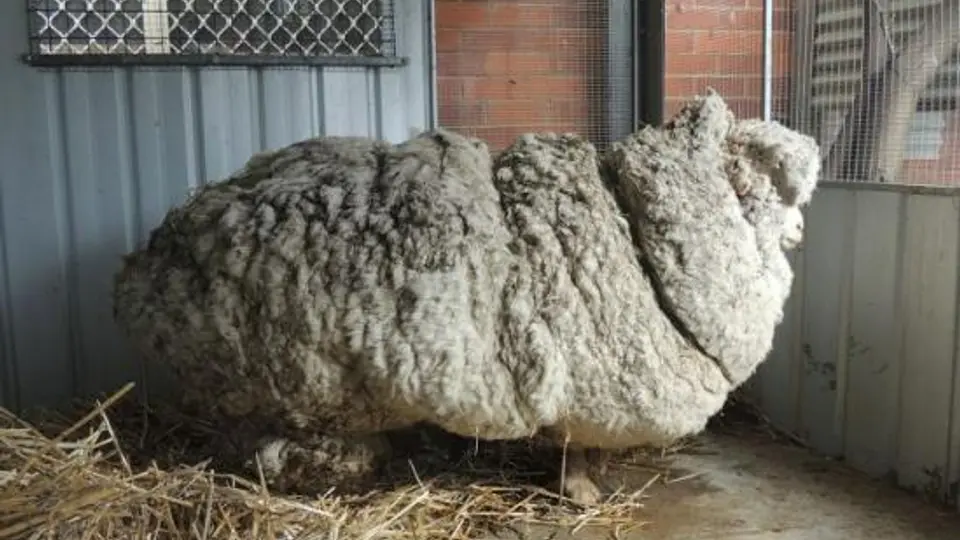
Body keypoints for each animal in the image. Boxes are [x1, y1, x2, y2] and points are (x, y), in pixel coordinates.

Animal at [111, 90, 820, 505]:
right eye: (777, 178)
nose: (802, 231)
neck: (634, 228)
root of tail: (145, 265)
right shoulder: (590, 392)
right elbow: (577, 452)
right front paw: (585, 493)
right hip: (288, 383)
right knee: (268, 454)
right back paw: (343, 469)